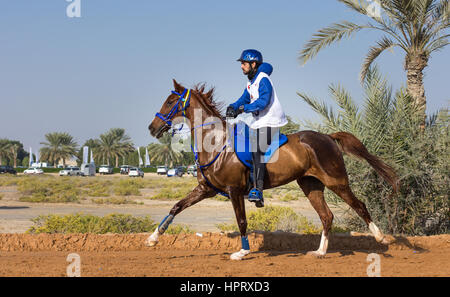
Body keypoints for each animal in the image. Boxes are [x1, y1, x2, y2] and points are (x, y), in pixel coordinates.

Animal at [145, 78, 398, 260]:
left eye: (170, 102)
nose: (152, 127)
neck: (217, 142)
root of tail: (327, 136)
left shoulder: (235, 190)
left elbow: (242, 221)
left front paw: (242, 252)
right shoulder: (205, 189)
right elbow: (177, 206)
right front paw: (153, 238)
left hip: (337, 181)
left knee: (359, 205)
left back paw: (382, 238)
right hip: (311, 185)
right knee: (326, 215)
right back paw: (320, 252)